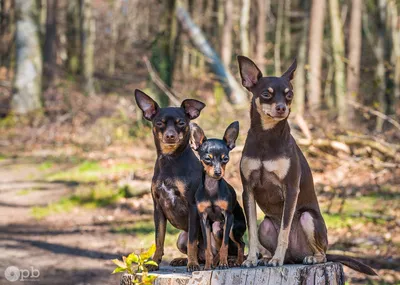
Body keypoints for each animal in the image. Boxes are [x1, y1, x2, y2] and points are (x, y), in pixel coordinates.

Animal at [136, 89, 206, 270]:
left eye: (181, 123)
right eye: (159, 123)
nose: (170, 135)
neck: (170, 160)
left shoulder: (193, 206)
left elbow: (192, 241)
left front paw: (192, 264)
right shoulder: (158, 208)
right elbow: (159, 239)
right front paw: (154, 262)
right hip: (180, 239)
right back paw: (183, 260)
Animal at [191, 121, 247, 270]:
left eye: (225, 159)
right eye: (207, 159)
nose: (218, 172)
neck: (212, 188)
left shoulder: (228, 216)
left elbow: (225, 245)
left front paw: (223, 263)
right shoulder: (204, 219)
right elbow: (207, 248)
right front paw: (207, 266)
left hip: (231, 228)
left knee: (240, 243)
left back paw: (237, 261)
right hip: (215, 229)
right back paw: (215, 263)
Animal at [236, 54, 376, 274]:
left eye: (289, 95)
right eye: (266, 94)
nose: (282, 108)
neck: (266, 136)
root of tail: (296, 256)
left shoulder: (291, 189)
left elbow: (284, 231)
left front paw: (276, 259)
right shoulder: (247, 190)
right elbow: (251, 232)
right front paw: (251, 259)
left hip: (308, 218)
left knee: (322, 253)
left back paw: (306, 258)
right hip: (265, 226)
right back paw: (268, 258)